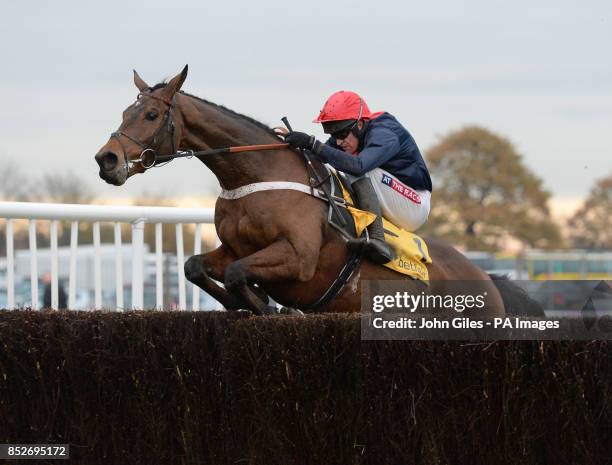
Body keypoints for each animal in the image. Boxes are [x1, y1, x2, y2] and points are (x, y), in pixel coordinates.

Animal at [94, 65, 506, 316]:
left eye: (151, 115)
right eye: (124, 114)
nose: (106, 159)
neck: (254, 177)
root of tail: (489, 281)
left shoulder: (298, 258)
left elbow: (239, 274)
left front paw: (268, 305)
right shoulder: (234, 249)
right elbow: (196, 266)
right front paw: (252, 302)